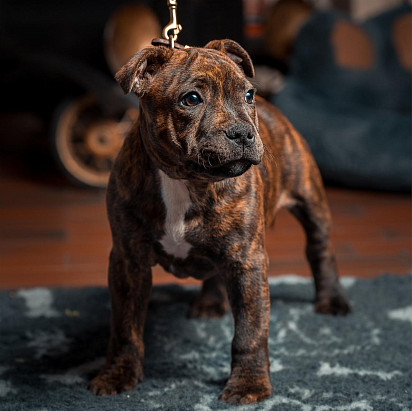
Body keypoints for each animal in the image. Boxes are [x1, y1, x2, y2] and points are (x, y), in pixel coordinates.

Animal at [87, 38, 350, 406]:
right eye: (191, 99)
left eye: (248, 95)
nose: (242, 133)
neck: (185, 180)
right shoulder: (128, 260)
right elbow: (125, 326)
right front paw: (118, 374)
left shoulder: (247, 261)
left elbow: (250, 331)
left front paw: (249, 385)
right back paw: (211, 302)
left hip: (311, 201)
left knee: (320, 250)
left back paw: (332, 300)